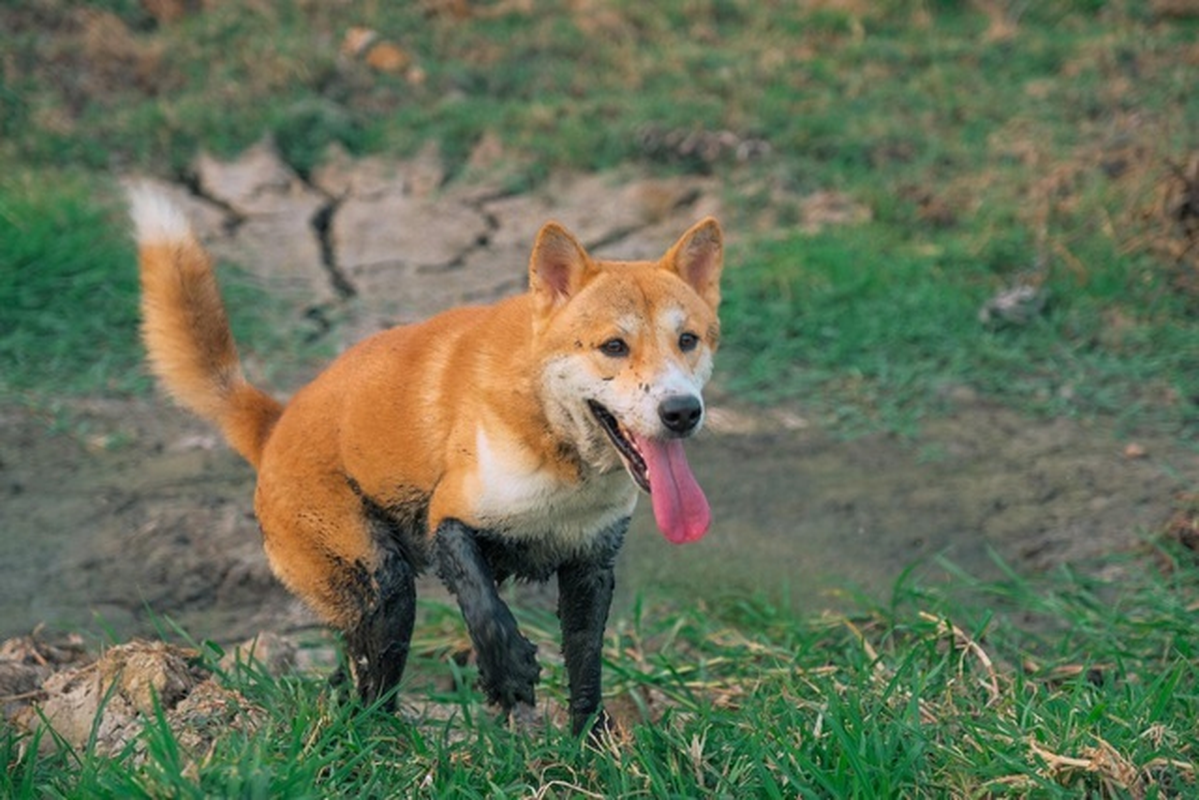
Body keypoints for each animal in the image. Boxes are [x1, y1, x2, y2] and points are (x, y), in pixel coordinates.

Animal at [136, 184, 724, 734]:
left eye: (687, 340)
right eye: (613, 347)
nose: (681, 412)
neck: (556, 442)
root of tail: (275, 425)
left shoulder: (591, 565)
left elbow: (586, 665)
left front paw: (590, 744)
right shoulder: (450, 518)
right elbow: (483, 604)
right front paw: (508, 673)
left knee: (349, 681)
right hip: (385, 587)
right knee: (371, 681)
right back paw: (376, 741)